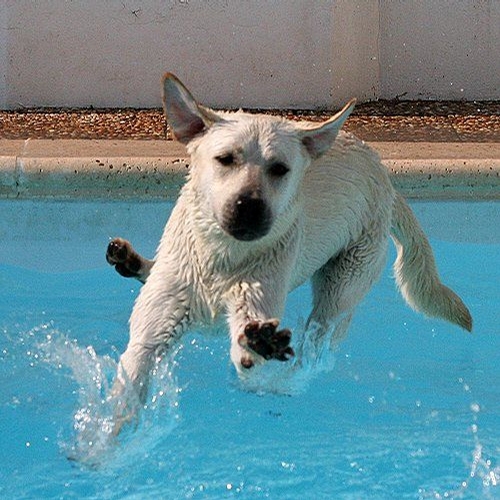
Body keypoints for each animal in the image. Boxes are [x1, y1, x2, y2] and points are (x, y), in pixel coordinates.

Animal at [106, 74, 472, 416]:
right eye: (225, 159)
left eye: (280, 169)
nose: (249, 207)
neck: (223, 257)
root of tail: (384, 176)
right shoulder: (151, 333)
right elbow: (129, 384)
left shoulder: (254, 306)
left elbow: (250, 357)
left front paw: (260, 349)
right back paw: (136, 263)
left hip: (341, 289)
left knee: (314, 349)